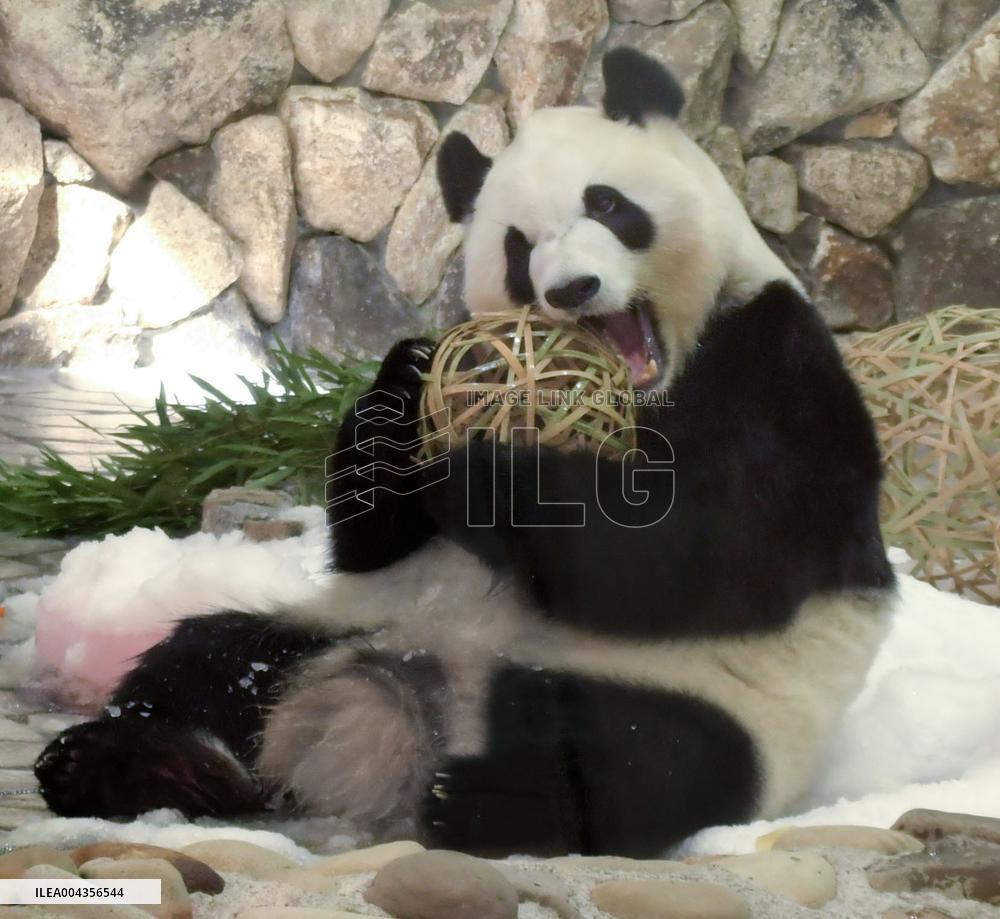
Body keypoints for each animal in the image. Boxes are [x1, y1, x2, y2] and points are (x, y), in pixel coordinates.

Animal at [35, 49, 895, 858]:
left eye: (608, 204)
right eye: (518, 249)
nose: (571, 290)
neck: (658, 385)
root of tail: (406, 719)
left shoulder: (780, 366)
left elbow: (710, 549)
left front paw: (492, 479)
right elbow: (374, 537)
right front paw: (403, 387)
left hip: (711, 698)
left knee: (644, 760)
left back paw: (488, 800)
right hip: (344, 625)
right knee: (210, 660)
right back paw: (129, 764)